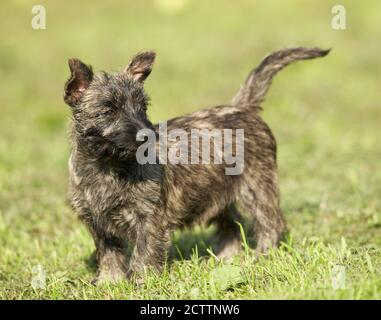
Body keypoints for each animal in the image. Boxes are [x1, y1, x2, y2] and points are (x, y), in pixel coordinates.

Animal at [63, 47, 328, 282]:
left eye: (142, 107)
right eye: (108, 110)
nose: (146, 134)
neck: (107, 166)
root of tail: (242, 107)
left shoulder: (149, 219)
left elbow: (144, 254)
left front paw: (143, 283)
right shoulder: (98, 224)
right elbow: (108, 255)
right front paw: (111, 282)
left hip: (257, 189)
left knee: (270, 224)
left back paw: (261, 256)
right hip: (219, 197)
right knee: (233, 227)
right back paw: (226, 259)